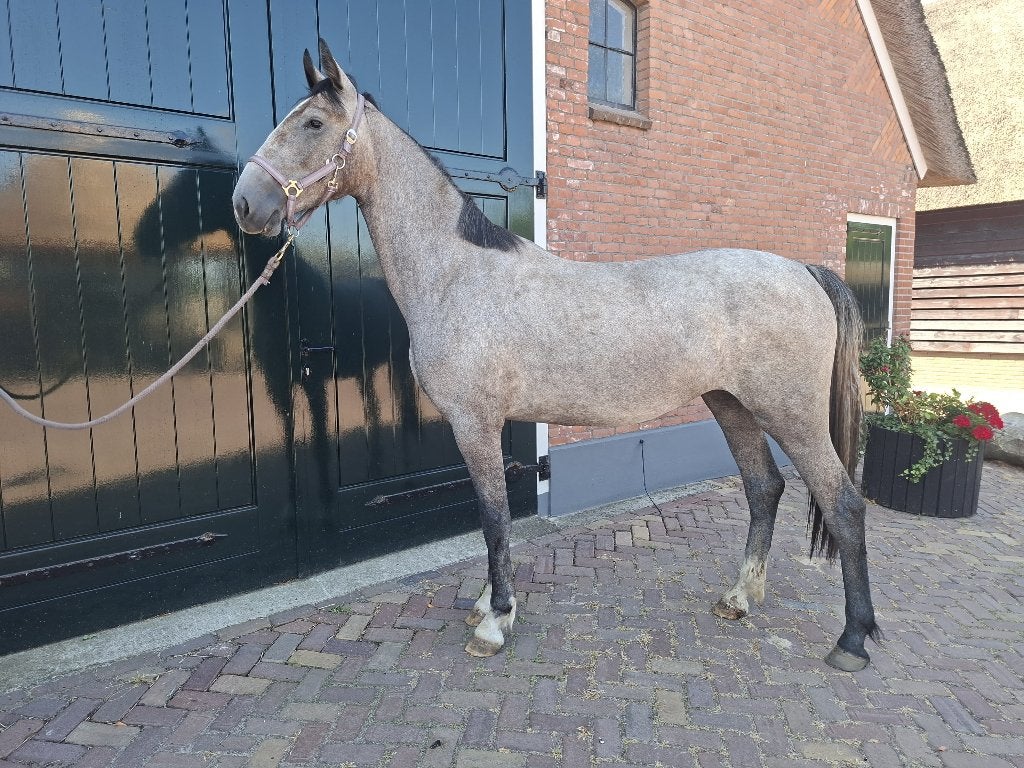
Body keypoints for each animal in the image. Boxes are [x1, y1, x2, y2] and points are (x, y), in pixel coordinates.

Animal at [232, 39, 879, 672]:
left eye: (313, 123)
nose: (245, 204)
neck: (459, 275)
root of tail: (804, 271)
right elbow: (492, 518)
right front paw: (489, 603)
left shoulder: (475, 423)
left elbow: (493, 516)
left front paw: (495, 620)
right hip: (731, 404)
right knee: (764, 488)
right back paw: (740, 597)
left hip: (791, 414)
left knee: (843, 501)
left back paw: (852, 639)